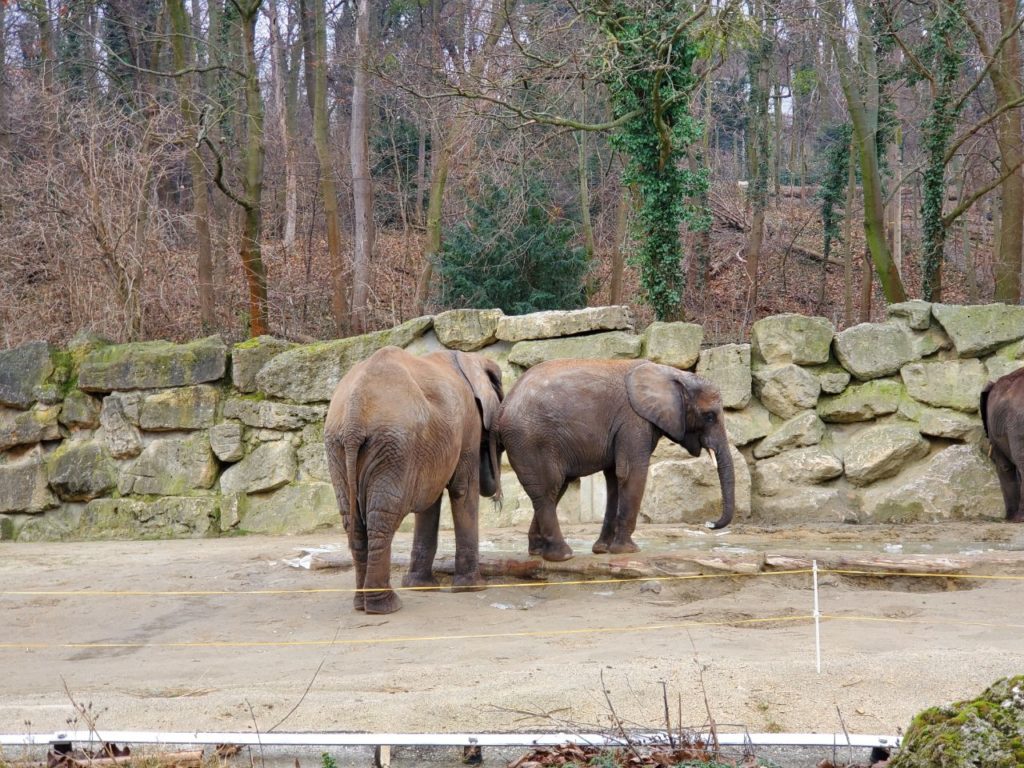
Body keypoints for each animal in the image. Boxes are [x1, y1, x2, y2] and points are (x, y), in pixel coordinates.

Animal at [323, 348, 503, 614]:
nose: (496, 495)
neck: (469, 357)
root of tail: (355, 415)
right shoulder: (468, 424)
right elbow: (462, 490)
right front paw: (473, 588)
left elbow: (430, 500)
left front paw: (421, 586)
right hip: (394, 445)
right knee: (382, 518)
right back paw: (385, 605)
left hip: (340, 447)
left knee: (352, 520)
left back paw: (362, 604)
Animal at [493, 358, 729, 561]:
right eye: (709, 416)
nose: (709, 523)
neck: (671, 373)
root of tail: (503, 405)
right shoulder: (633, 421)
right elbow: (631, 473)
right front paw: (628, 550)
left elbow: (615, 478)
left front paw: (602, 550)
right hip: (532, 440)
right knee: (549, 488)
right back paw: (563, 556)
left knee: (553, 489)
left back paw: (537, 551)